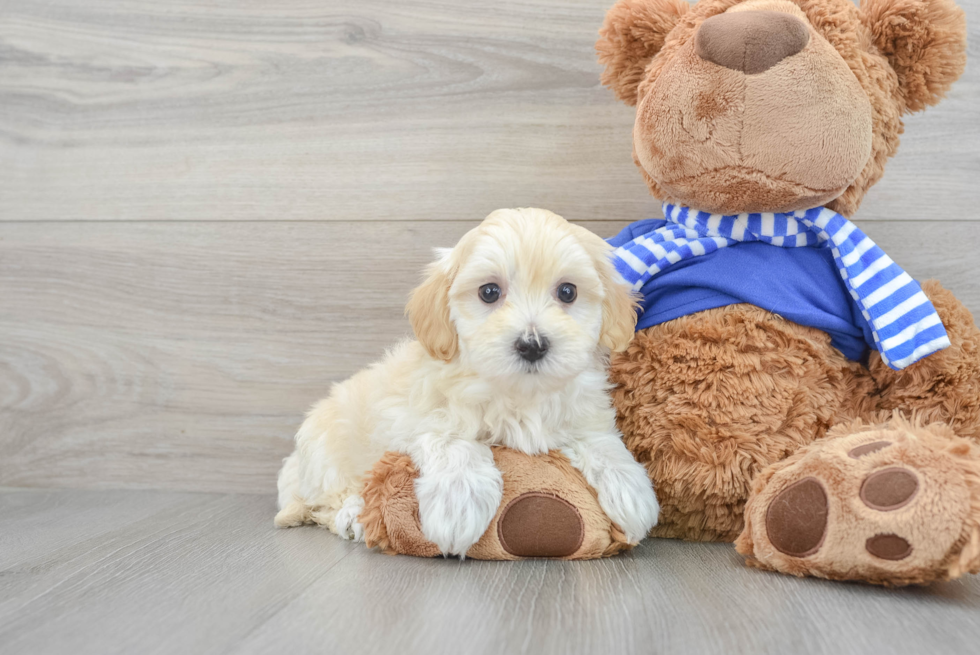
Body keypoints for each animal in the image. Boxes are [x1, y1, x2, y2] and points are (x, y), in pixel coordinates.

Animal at [274, 208, 660, 556]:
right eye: (489, 292)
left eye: (568, 291)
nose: (532, 345)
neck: (519, 393)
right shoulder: (410, 417)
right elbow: (453, 441)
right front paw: (458, 500)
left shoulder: (581, 410)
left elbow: (600, 439)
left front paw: (629, 487)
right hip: (324, 451)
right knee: (324, 503)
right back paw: (352, 514)